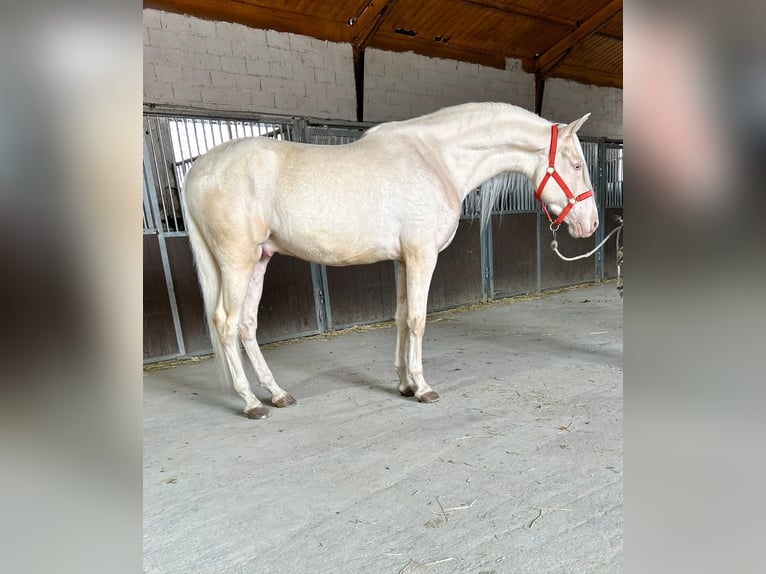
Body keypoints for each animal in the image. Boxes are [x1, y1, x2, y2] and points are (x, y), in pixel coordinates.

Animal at [184, 102, 600, 418]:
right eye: (577, 165)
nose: (592, 223)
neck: (437, 160)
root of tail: (199, 170)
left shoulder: (403, 260)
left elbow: (401, 317)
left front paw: (403, 383)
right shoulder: (421, 255)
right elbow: (417, 320)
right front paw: (423, 387)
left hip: (260, 259)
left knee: (247, 326)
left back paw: (276, 393)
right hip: (237, 261)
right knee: (226, 323)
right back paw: (251, 403)